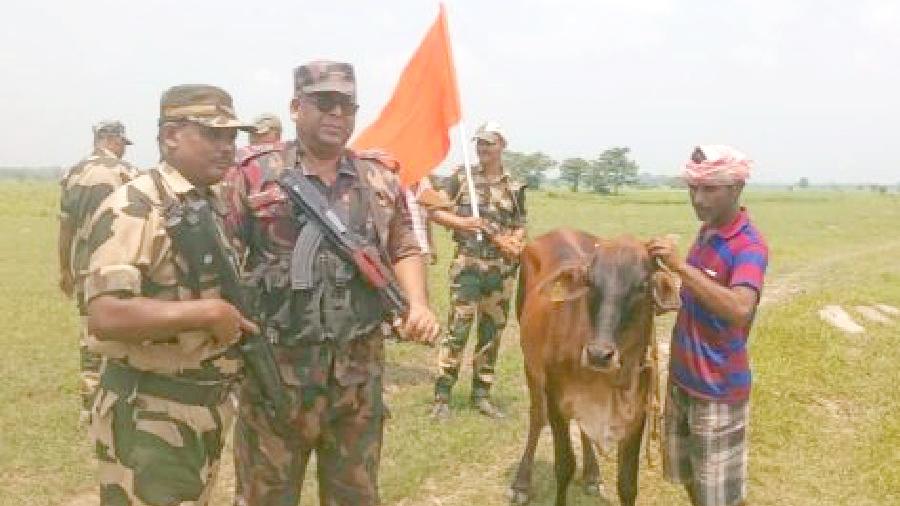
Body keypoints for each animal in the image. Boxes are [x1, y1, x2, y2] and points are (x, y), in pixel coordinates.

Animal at [506, 230, 676, 506]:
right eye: (590, 282)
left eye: (642, 286)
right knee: (537, 416)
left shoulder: (637, 414)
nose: (599, 354)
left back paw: (592, 475)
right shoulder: (556, 402)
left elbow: (627, 483)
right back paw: (521, 483)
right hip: (530, 364)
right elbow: (564, 466)